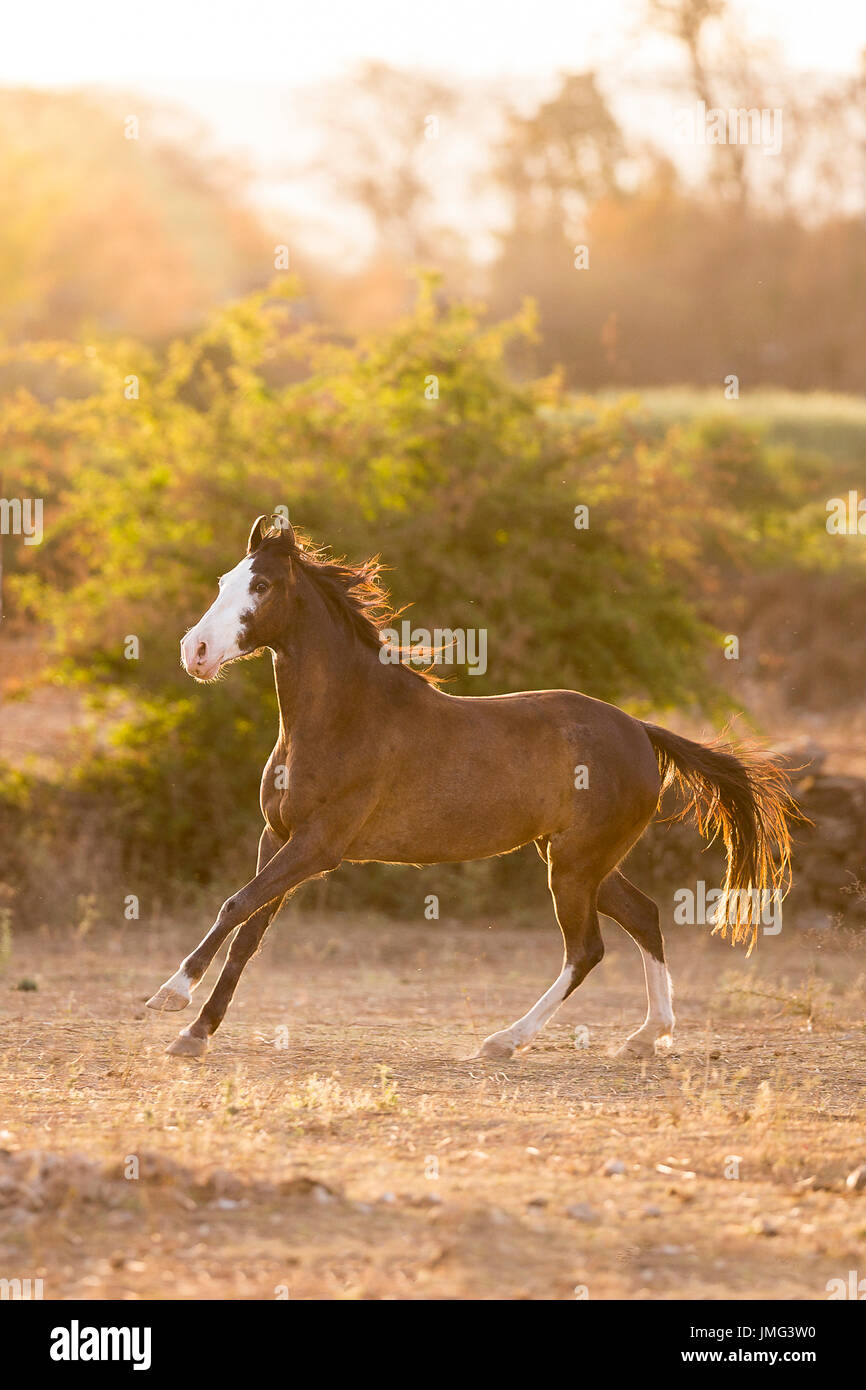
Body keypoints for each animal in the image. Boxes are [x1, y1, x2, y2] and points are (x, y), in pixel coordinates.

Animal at [146, 515, 796, 1060]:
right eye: (225, 581)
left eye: (260, 586)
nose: (193, 652)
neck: (345, 716)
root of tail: (640, 730)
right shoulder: (277, 836)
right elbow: (248, 931)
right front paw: (196, 1033)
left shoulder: (318, 846)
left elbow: (236, 905)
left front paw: (171, 995)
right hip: (582, 861)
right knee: (646, 915)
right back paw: (646, 1036)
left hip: (575, 866)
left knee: (586, 949)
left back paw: (505, 1041)